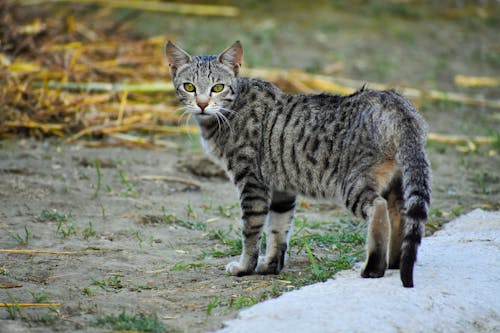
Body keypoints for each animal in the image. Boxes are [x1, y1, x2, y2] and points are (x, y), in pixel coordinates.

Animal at [166, 40, 432, 286]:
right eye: (189, 87)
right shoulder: (282, 188)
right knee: (400, 213)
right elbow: (278, 230)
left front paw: (244, 267)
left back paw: (374, 267)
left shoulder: (251, 183)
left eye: (218, 87)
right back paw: (395, 261)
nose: (202, 104)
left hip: (354, 183)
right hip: (396, 181)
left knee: (378, 209)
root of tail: (394, 100)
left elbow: (251, 230)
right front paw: (271, 265)